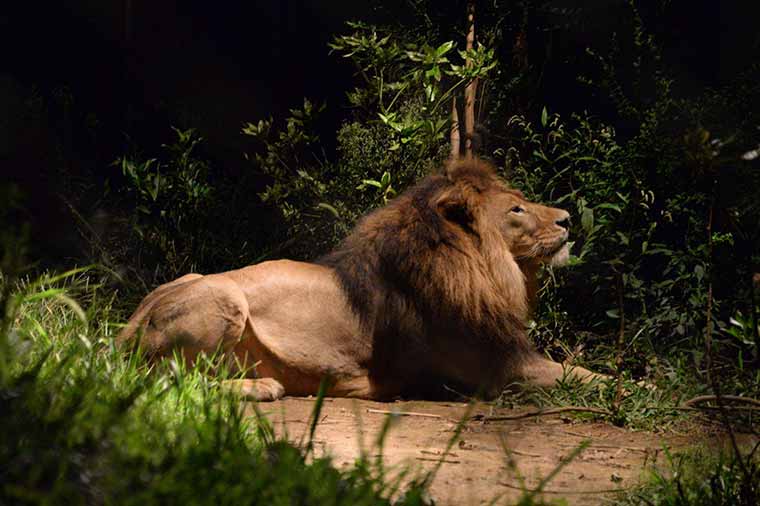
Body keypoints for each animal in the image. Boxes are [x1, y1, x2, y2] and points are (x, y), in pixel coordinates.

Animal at [119, 160, 604, 402]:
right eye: (516, 210)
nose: (567, 219)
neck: (486, 266)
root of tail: (129, 325)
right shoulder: (499, 367)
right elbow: (585, 376)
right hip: (226, 298)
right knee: (167, 380)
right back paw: (261, 388)